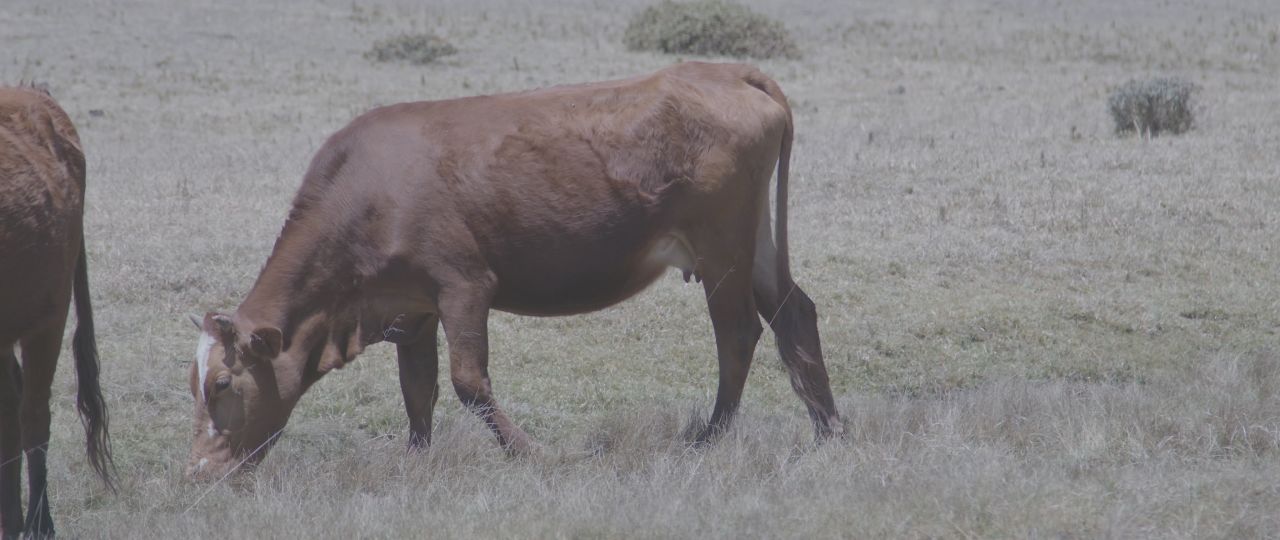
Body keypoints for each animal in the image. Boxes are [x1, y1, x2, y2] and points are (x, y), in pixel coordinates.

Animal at [183, 61, 839, 478]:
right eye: (194, 384)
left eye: (223, 384)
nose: (200, 470)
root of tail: (726, 71)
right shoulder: (412, 306)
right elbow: (417, 389)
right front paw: (415, 461)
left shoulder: (464, 286)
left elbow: (468, 382)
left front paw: (532, 454)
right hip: (754, 244)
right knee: (794, 314)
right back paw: (829, 429)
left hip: (721, 245)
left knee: (738, 334)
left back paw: (709, 438)